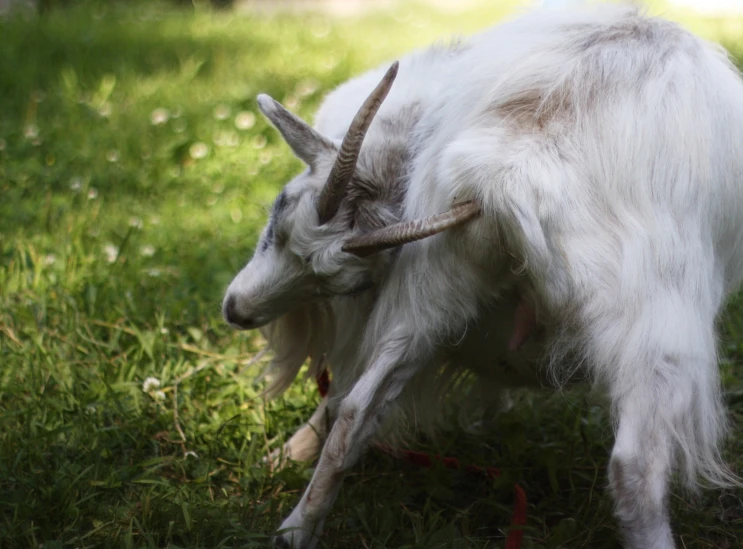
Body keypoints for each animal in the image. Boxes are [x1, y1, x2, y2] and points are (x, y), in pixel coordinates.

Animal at [224, 2, 743, 544]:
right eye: (279, 217)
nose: (236, 312)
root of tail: (509, 173)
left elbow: (339, 398)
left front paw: (282, 458)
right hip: (654, 323)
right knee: (635, 466)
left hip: (429, 291)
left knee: (355, 410)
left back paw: (294, 532)